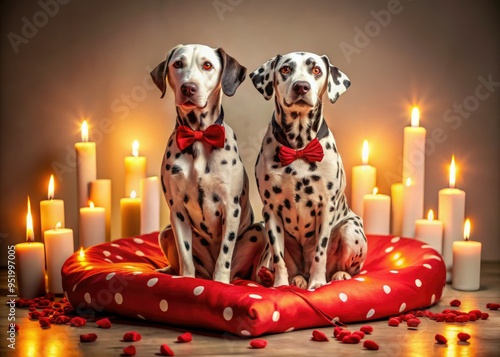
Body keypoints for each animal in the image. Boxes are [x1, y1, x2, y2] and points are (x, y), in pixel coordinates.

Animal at [151, 44, 266, 284]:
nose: (188, 88)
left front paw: (220, 282)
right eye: (178, 64)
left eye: (207, 65)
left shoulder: (230, 208)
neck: (199, 136)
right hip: (166, 231)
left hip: (257, 232)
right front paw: (186, 279)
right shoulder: (177, 210)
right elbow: (185, 255)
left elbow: (224, 255)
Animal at [252, 51, 366, 288]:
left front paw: (317, 283)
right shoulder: (271, 211)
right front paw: (280, 285)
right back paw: (294, 279)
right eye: (286, 69)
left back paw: (339, 275)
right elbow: (278, 257)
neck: (299, 147)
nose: (301, 86)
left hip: (350, 229)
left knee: (352, 269)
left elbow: (320, 253)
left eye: (316, 70)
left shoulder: (326, 208)